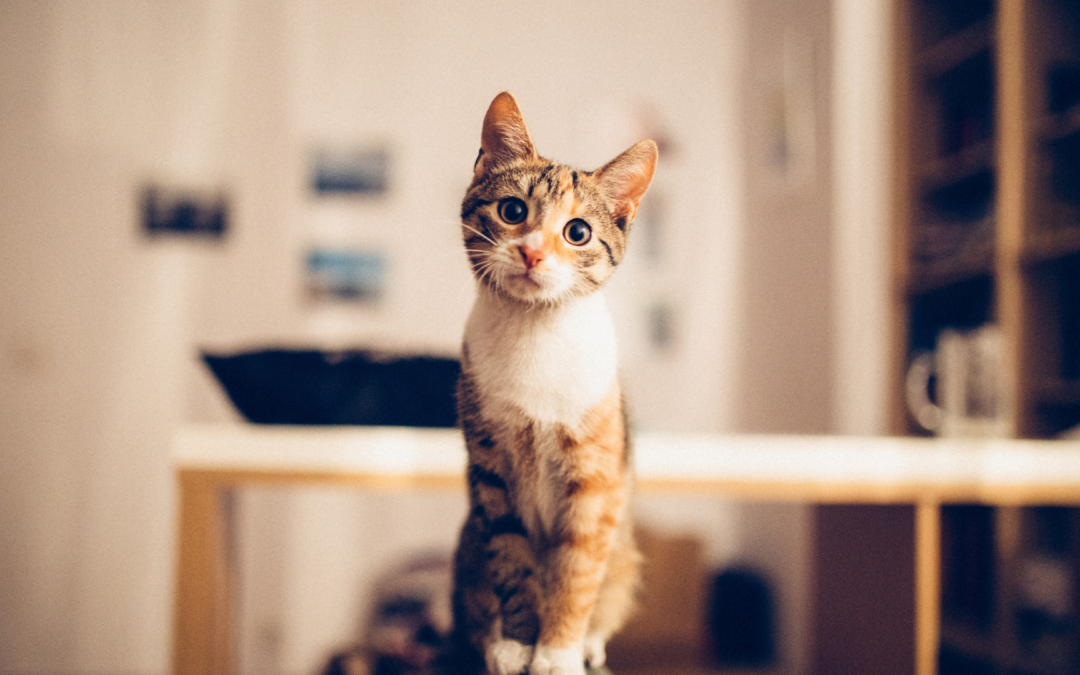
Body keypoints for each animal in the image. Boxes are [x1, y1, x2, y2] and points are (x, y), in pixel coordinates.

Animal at [442, 93, 652, 673]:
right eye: (513, 211)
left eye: (577, 232)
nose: (532, 252)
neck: (535, 329)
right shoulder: (490, 471)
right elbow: (512, 561)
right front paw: (517, 642)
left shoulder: (596, 479)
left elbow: (575, 572)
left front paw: (558, 651)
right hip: (467, 544)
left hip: (625, 556)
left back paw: (590, 642)